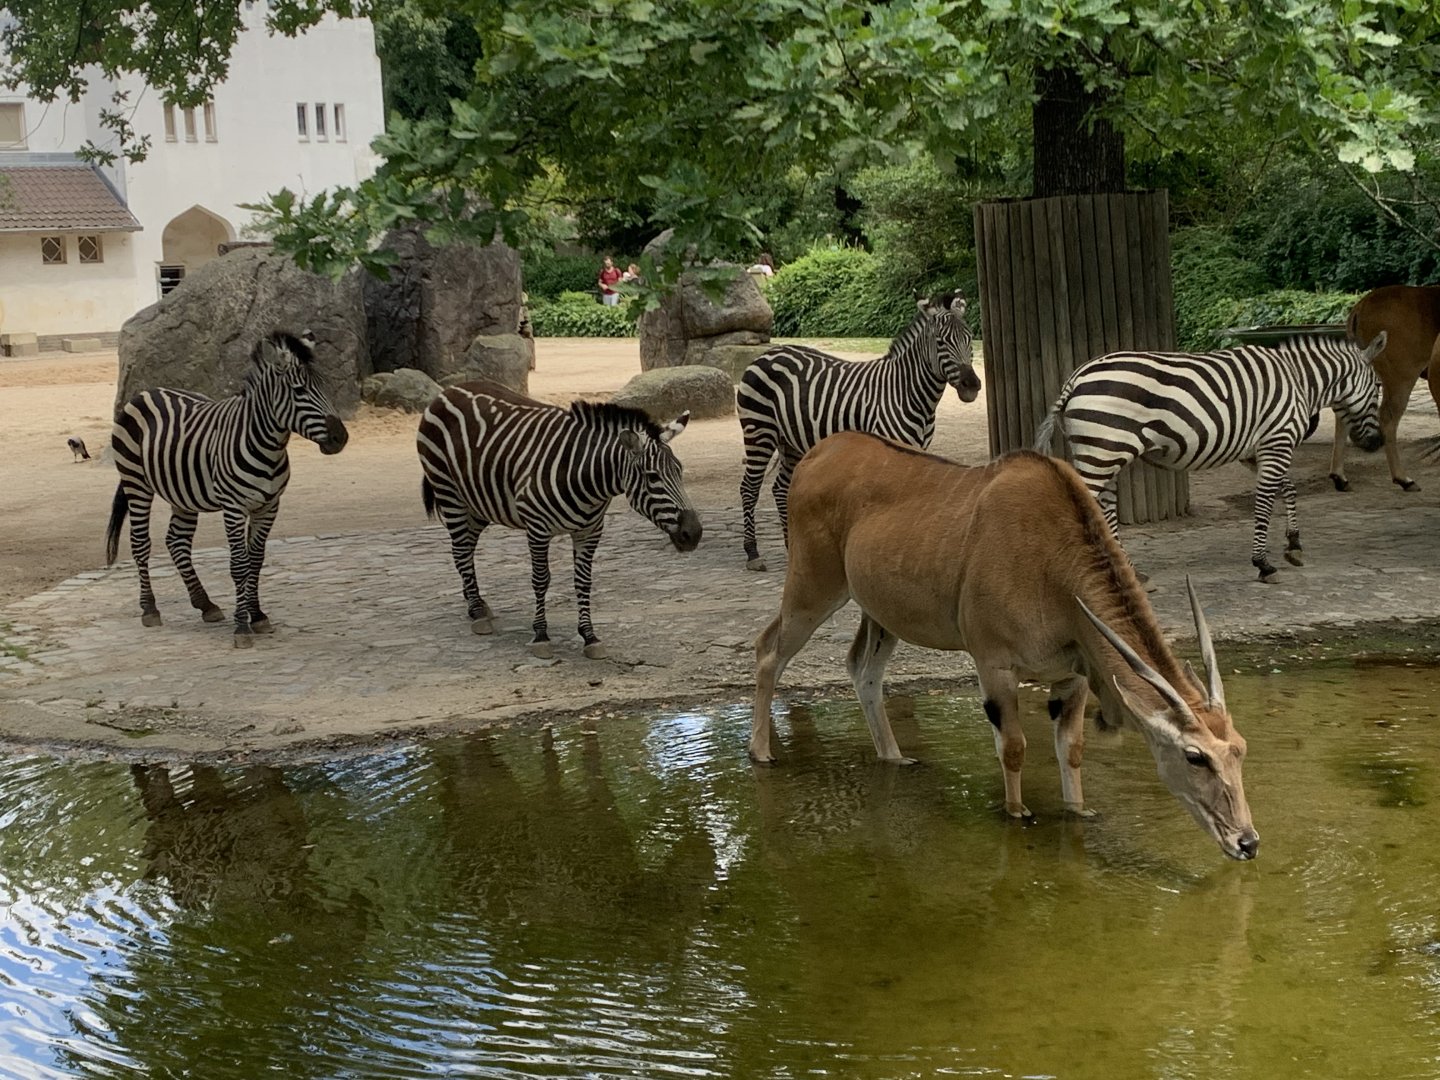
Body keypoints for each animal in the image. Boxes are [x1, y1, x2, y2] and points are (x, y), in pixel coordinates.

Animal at [105, 331, 349, 646]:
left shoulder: (269, 506)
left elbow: (256, 560)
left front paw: (257, 616)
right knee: (140, 543)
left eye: (324, 386)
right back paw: (150, 609)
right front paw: (242, 627)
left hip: (182, 494)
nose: (341, 437)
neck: (266, 446)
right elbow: (239, 565)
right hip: (136, 482)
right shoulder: (233, 507)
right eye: (299, 391)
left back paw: (205, 604)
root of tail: (147, 392)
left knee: (177, 541)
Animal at [416, 380, 702, 659]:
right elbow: (541, 579)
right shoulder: (537, 528)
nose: (694, 533)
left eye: (680, 471)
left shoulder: (590, 531)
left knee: (465, 550)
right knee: (461, 551)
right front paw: (541, 635)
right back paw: (476, 613)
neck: (587, 478)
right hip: (449, 492)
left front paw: (589, 636)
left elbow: (583, 582)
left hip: (477, 504)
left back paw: (475, 602)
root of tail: (450, 389)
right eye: (653, 477)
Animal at [736, 291, 980, 570]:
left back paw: (791, 548)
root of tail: (767, 353)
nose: (972, 385)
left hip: (792, 439)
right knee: (749, 488)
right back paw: (752, 553)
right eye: (940, 342)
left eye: (970, 338)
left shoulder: (918, 447)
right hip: (759, 430)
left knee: (780, 487)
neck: (906, 389)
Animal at [1033, 332, 1388, 582]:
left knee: (1103, 510)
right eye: (1379, 387)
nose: (1377, 443)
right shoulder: (1278, 440)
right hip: (1102, 452)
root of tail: (1076, 377)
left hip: (1102, 452)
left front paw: (1294, 544)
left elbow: (1287, 488)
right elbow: (1265, 501)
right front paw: (1263, 563)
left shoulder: (1258, 450)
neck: (1300, 382)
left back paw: (1128, 572)